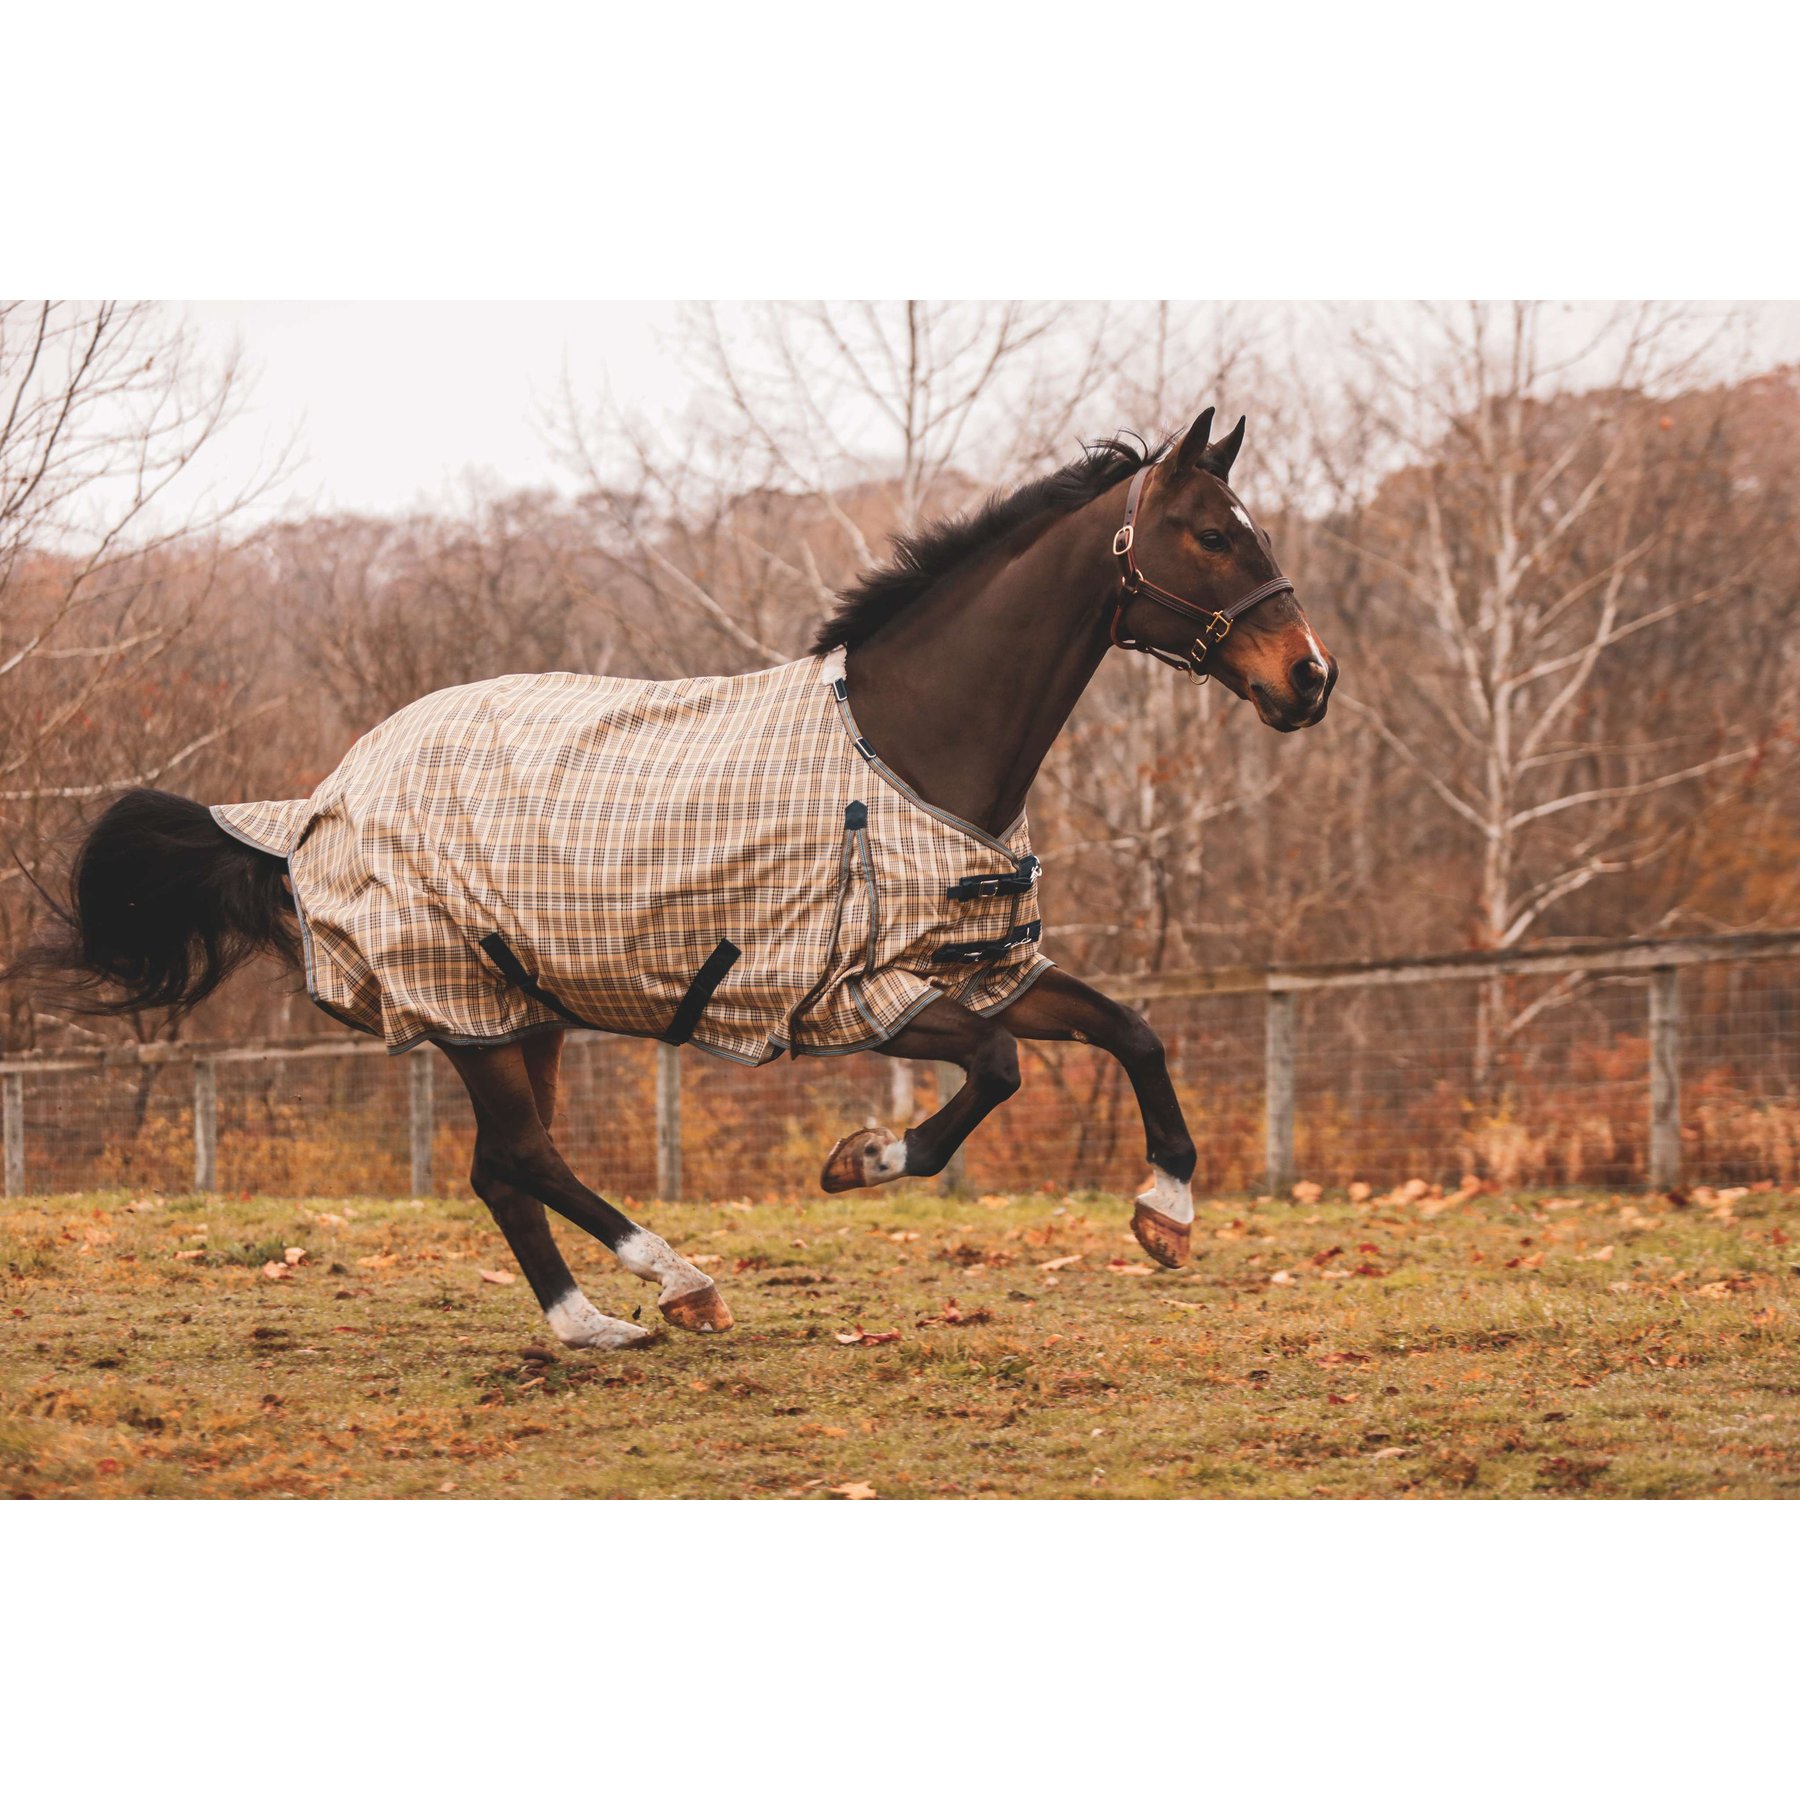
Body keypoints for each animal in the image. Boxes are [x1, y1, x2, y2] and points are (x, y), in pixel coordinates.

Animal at [15, 408, 1335, 1350]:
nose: (1309, 678)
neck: (905, 747)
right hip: (471, 1009)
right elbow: (1003, 1072)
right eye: (1213, 533)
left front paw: (1165, 1215)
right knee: (528, 1159)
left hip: (522, 1012)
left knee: (503, 1168)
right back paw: (681, 1285)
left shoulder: (983, 964)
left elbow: (1133, 1031)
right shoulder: (858, 999)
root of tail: (320, 801)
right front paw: (865, 1162)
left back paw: (590, 1323)